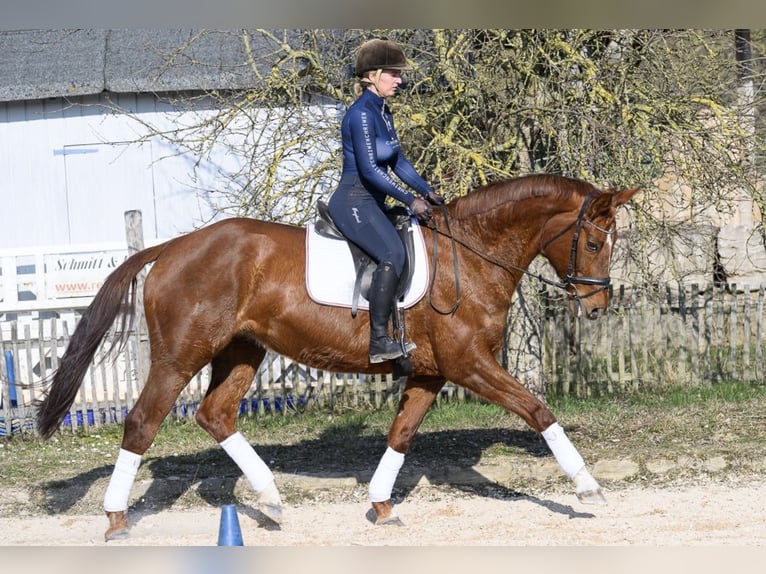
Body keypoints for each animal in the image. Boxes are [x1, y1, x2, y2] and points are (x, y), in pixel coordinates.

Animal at [33, 173, 640, 544]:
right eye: (593, 242)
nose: (597, 305)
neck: (470, 254)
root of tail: (172, 247)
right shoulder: (469, 365)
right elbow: (538, 411)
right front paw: (587, 486)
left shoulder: (431, 373)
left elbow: (401, 435)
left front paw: (381, 506)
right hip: (179, 358)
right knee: (142, 422)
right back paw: (117, 519)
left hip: (241, 351)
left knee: (215, 414)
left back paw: (271, 498)